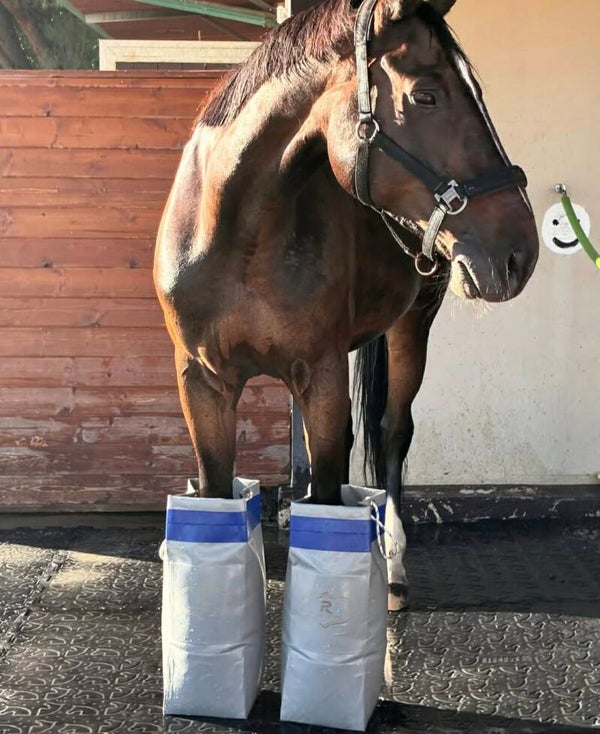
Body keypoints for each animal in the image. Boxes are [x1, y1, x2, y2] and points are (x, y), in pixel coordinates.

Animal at [154, 0, 539, 611]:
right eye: (426, 95)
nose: (519, 253)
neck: (236, 234)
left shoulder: (321, 374)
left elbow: (336, 488)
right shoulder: (203, 382)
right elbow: (219, 490)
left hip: (413, 323)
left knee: (392, 431)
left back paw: (395, 569)